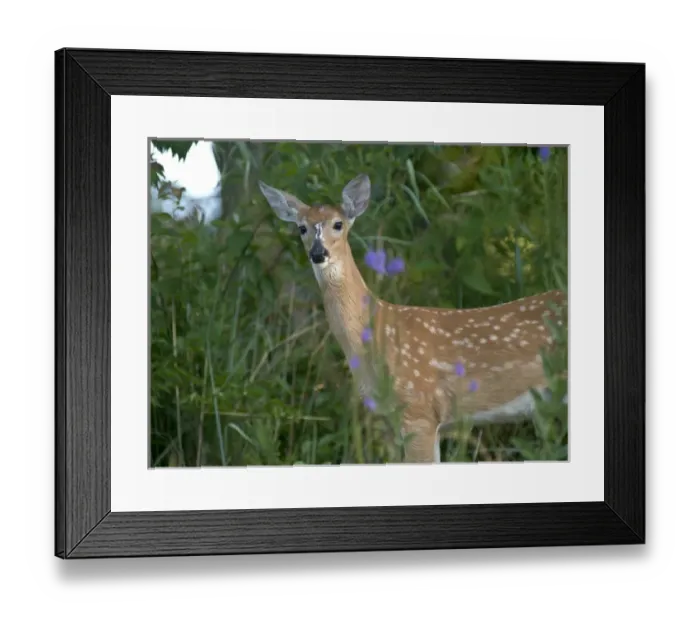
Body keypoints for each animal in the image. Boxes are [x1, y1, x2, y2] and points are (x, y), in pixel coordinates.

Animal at [258, 173, 568, 464]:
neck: (374, 334)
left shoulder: (419, 409)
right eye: (301, 227)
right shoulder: (390, 421)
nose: (318, 253)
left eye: (338, 224)